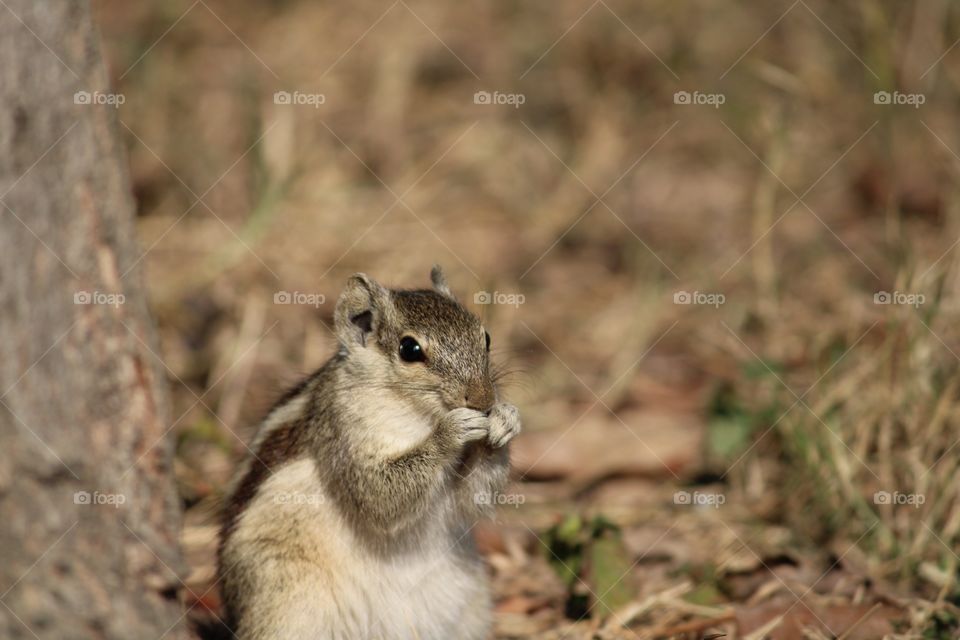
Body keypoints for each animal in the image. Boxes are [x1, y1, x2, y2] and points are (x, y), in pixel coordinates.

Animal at [217, 266, 521, 640]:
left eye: (486, 336)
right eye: (409, 349)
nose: (483, 400)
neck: (412, 411)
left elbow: (473, 498)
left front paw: (505, 422)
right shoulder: (341, 432)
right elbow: (378, 497)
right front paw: (449, 432)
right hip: (286, 604)